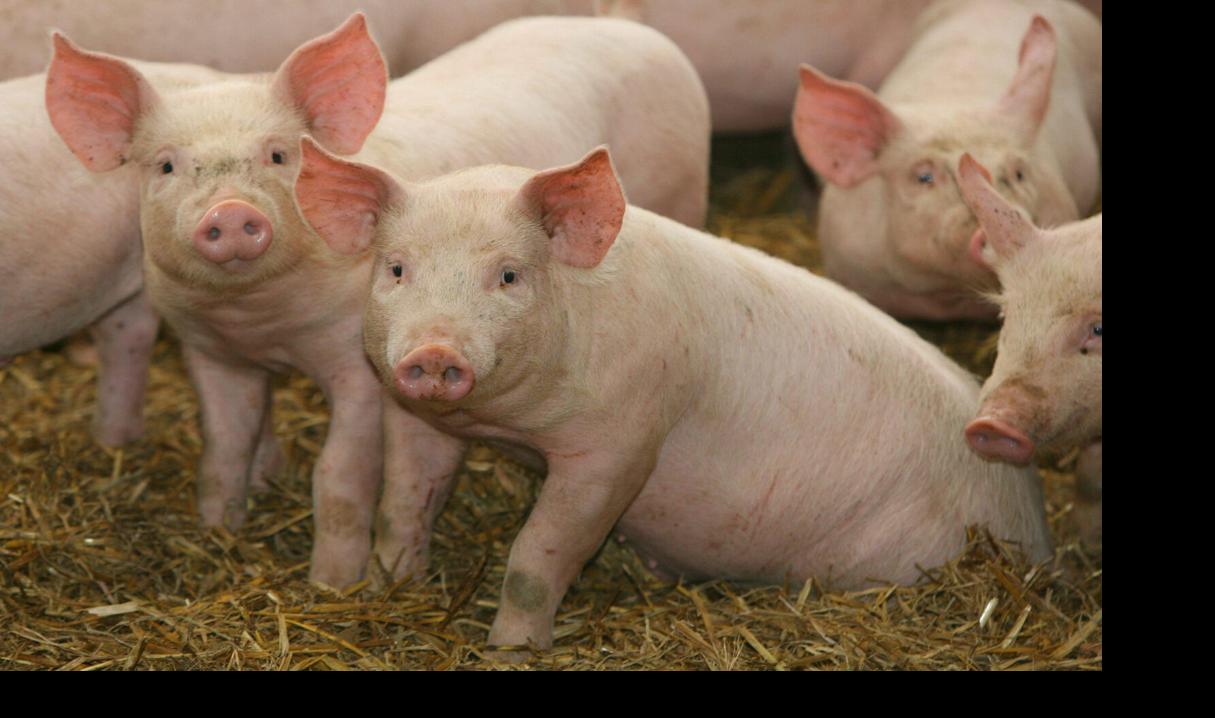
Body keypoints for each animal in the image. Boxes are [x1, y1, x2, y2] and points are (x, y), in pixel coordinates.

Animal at [46, 13, 709, 587]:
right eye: (165, 166)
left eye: (279, 154)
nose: (231, 212)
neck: (263, 321)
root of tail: (623, 24)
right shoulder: (211, 353)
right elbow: (223, 448)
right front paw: (218, 532)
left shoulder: (360, 365)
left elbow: (339, 473)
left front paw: (334, 584)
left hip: (682, 188)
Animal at [296, 141, 1053, 655]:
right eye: (397, 269)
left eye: (509, 275)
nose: (434, 352)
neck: (509, 426)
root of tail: (1039, 532)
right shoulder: (419, 418)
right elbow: (403, 503)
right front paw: (389, 587)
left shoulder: (621, 443)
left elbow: (538, 554)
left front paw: (511, 650)